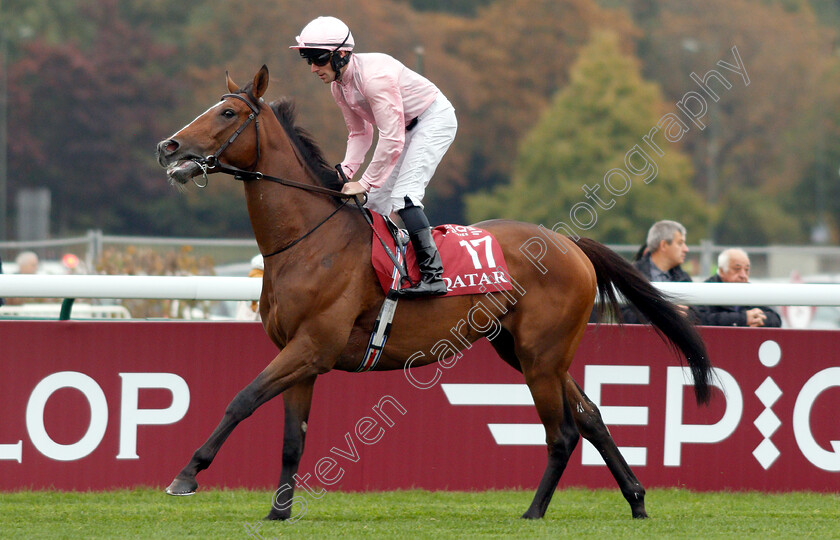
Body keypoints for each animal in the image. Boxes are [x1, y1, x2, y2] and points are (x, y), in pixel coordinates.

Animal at [154, 65, 712, 520]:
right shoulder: (299, 355)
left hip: (540, 355)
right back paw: (636, 500)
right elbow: (293, 439)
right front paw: (278, 512)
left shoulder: (312, 347)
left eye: (227, 112)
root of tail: (570, 243)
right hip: (526, 351)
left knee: (562, 432)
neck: (309, 239)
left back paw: (534, 512)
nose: (168, 148)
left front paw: (186, 474)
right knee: (590, 418)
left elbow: (241, 399)